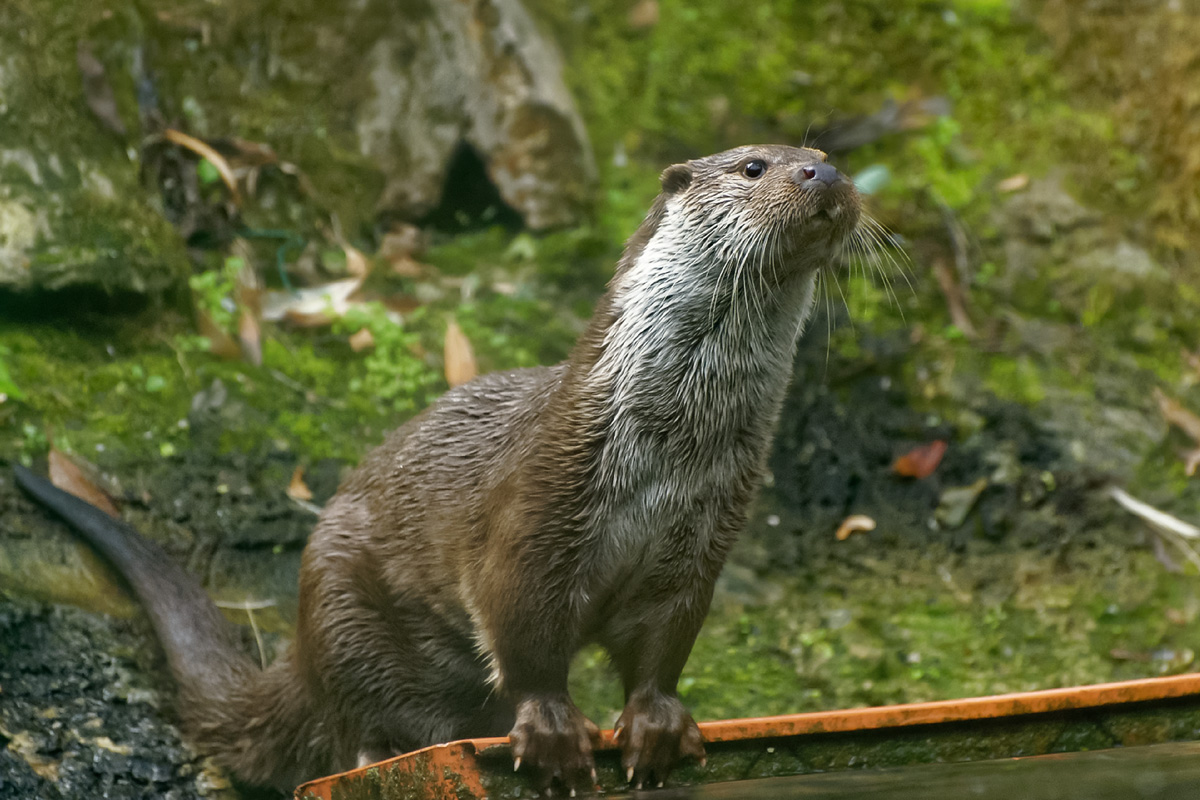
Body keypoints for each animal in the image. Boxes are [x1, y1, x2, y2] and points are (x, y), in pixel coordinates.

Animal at [14, 144, 862, 794]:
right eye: (754, 165)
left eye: (823, 154)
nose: (824, 173)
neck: (667, 449)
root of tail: (298, 649)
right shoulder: (537, 511)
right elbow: (523, 631)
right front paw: (554, 731)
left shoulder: (700, 540)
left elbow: (662, 642)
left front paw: (653, 726)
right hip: (344, 605)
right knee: (352, 731)